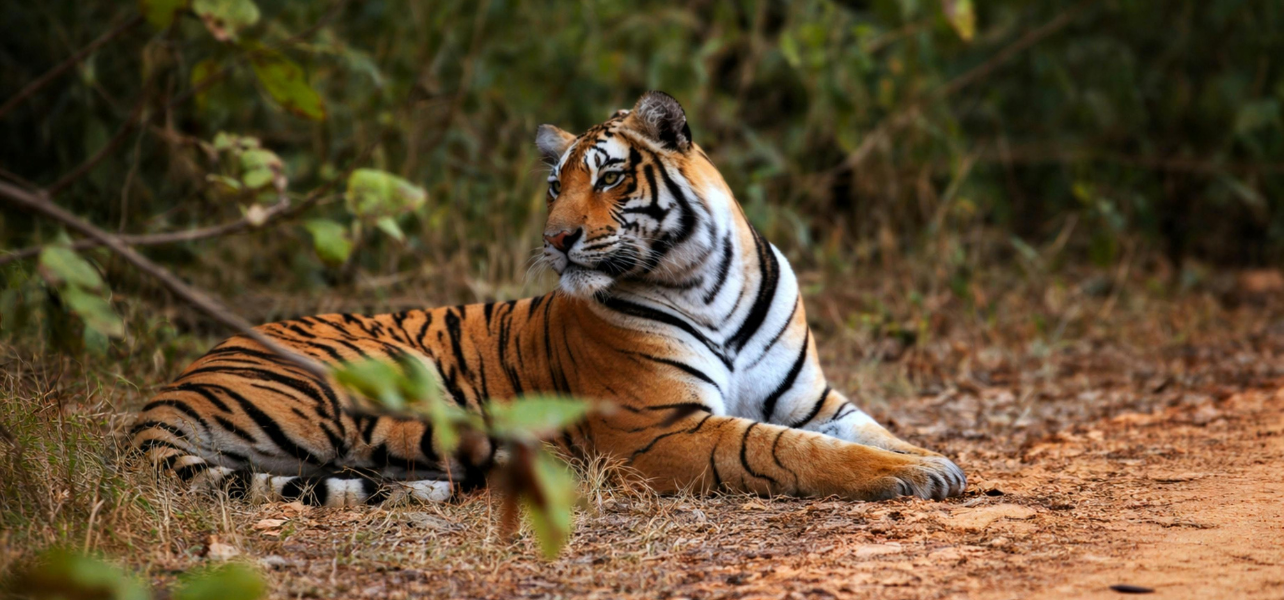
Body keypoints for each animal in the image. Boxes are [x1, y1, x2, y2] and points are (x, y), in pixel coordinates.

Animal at [130, 91, 966, 507]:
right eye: (552, 186)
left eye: (609, 178)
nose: (557, 239)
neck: (707, 281)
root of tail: (168, 388)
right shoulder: (661, 428)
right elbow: (787, 450)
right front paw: (908, 475)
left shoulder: (812, 398)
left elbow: (870, 430)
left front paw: (934, 460)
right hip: (380, 381)